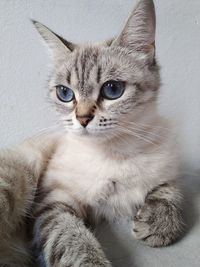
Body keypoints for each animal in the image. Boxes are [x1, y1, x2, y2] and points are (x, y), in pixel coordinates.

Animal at [0, 0, 184, 267]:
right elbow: (72, 242)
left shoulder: (167, 166)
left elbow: (171, 188)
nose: (83, 118)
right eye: (65, 94)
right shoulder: (53, 202)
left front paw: (158, 224)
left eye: (112, 89)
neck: (113, 153)